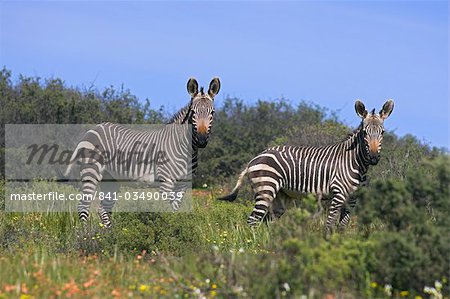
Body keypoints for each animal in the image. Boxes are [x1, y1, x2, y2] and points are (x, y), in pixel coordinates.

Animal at [63, 77, 221, 227]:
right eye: (193, 112)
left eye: (212, 113)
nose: (201, 140)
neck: (185, 148)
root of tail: (94, 128)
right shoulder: (166, 181)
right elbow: (167, 210)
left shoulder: (183, 184)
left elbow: (175, 210)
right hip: (91, 171)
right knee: (83, 206)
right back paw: (85, 236)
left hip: (111, 179)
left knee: (103, 209)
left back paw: (109, 235)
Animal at [218, 99, 394, 233]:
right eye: (364, 132)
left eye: (382, 132)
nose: (373, 158)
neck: (356, 163)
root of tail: (254, 158)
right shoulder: (337, 196)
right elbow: (329, 225)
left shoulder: (352, 200)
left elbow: (342, 227)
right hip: (265, 188)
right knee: (253, 220)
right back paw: (253, 245)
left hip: (280, 196)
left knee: (268, 220)